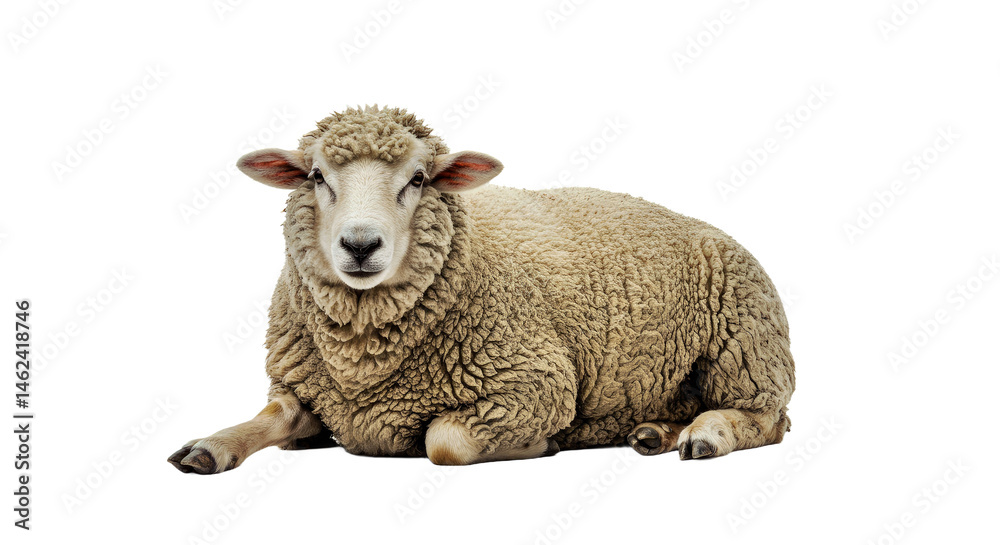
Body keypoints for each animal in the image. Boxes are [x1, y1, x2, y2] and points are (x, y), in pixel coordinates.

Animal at [168, 105, 795, 473]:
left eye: (419, 179)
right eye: (317, 176)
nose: (360, 245)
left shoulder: (538, 383)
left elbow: (444, 441)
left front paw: (540, 445)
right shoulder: (303, 389)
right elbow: (272, 417)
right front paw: (211, 445)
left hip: (746, 347)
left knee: (767, 419)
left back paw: (705, 436)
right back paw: (652, 432)